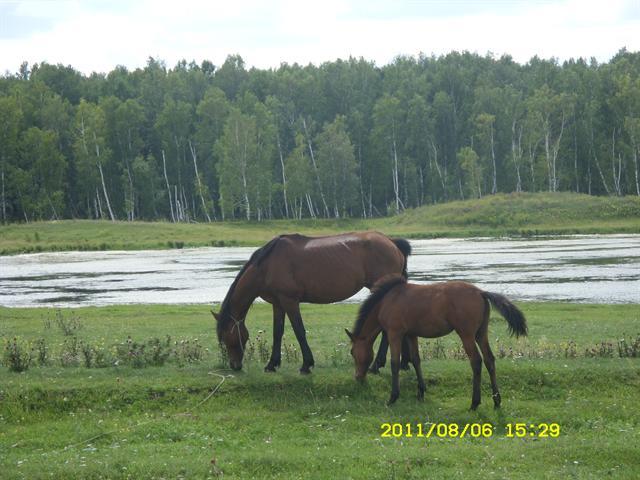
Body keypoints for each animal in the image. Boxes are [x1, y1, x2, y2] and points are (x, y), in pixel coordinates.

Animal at [212, 232, 412, 373]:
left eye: (228, 337)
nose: (235, 365)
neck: (267, 265)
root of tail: (392, 243)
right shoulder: (278, 303)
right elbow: (278, 332)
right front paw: (272, 364)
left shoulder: (290, 301)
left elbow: (299, 331)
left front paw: (306, 364)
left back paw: (376, 365)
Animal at [346, 275, 527, 409]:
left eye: (352, 352)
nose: (358, 377)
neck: (387, 301)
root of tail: (481, 292)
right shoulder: (411, 334)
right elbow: (416, 360)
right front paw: (421, 392)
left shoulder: (394, 333)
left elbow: (395, 363)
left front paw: (393, 397)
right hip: (480, 334)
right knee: (489, 359)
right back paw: (496, 401)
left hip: (466, 334)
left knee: (476, 361)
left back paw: (475, 403)